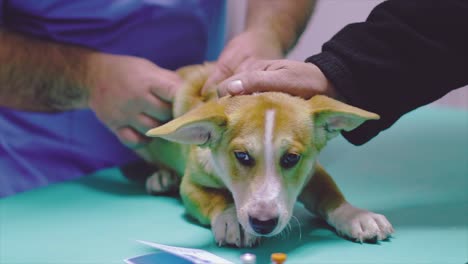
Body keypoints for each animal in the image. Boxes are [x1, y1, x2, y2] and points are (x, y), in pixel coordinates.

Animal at [141, 63, 394, 248]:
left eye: (291, 158)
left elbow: (329, 193)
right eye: (242, 156)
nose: (263, 224)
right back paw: (162, 177)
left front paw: (356, 216)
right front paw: (233, 218)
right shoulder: (191, 185)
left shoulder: (312, 171)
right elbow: (216, 198)